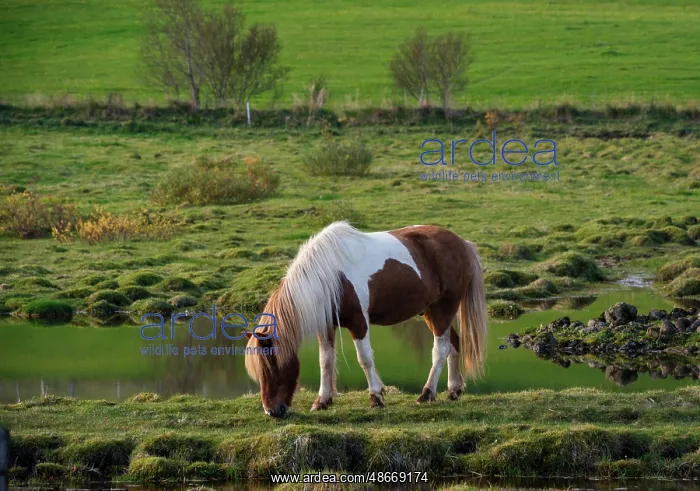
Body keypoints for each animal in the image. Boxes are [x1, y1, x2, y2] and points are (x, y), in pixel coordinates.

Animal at [244, 221, 487, 417]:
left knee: (441, 349)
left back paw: (427, 393)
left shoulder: (359, 323)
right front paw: (322, 401)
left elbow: (365, 359)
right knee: (454, 344)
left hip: (443, 310)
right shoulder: (326, 326)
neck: (331, 275)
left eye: (272, 366)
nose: (272, 411)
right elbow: (325, 361)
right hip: (430, 312)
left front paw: (376, 397)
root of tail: (462, 243)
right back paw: (453, 390)